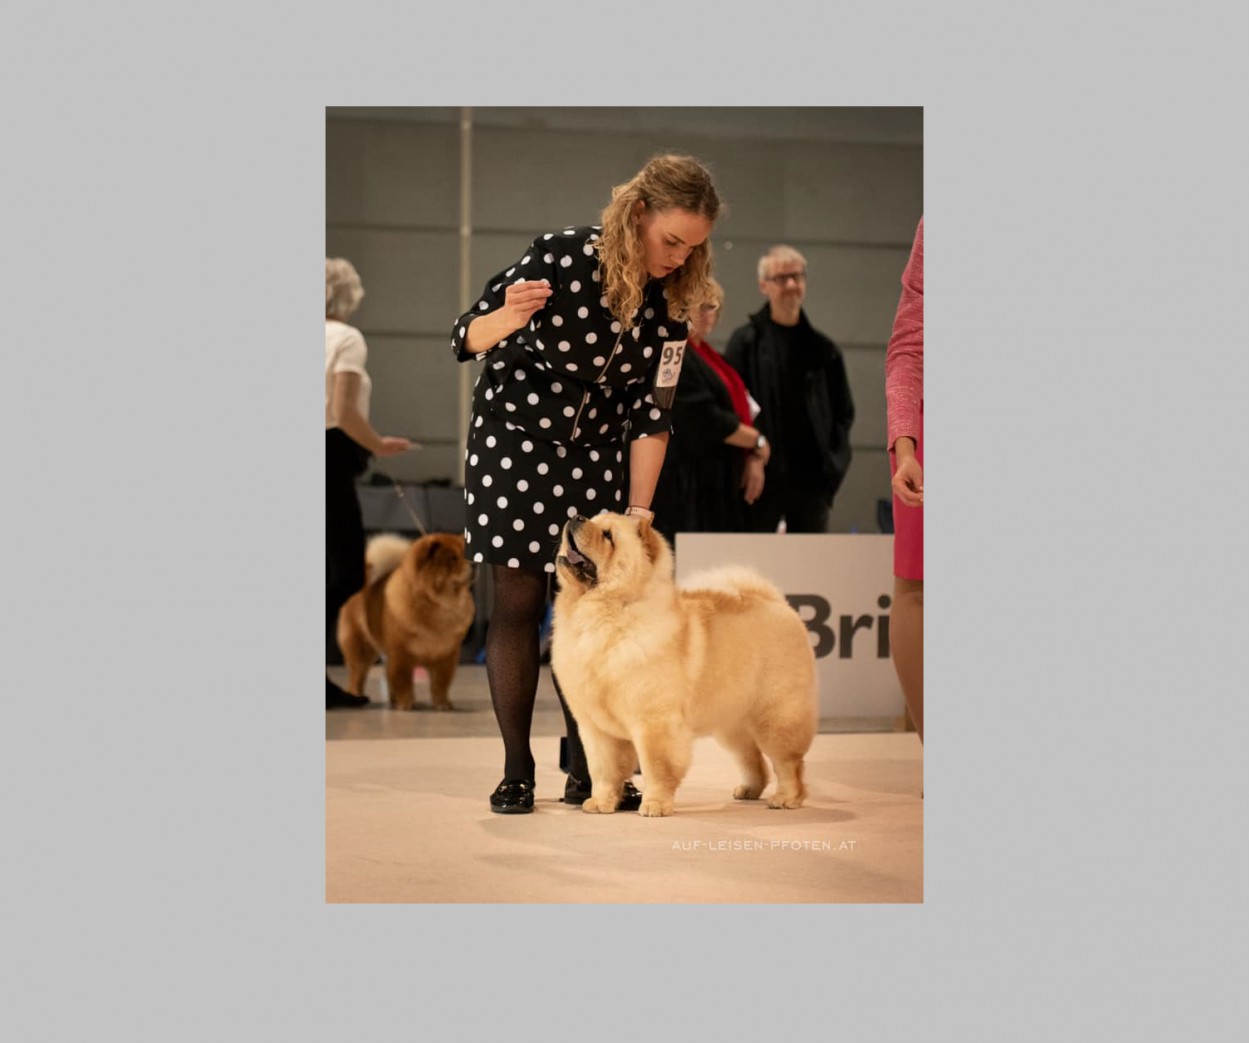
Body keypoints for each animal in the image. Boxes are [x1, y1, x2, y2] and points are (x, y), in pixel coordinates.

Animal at [336, 532, 475, 711]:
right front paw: (407, 703)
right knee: (357, 674)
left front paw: (442, 704)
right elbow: (403, 681)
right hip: (360, 647)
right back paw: (356, 695)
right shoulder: (400, 654)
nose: (475, 564)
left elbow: (440, 684)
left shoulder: (446, 656)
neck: (440, 605)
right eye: (452, 558)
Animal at [551, 511, 817, 816]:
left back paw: (786, 798)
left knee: (788, 763)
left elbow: (657, 767)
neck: (603, 613)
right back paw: (749, 790)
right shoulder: (596, 729)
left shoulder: (654, 723)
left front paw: (654, 805)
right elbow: (603, 771)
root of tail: (777, 603)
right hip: (731, 724)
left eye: (608, 536)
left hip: (777, 718)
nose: (576, 516)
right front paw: (600, 803)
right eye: (594, 519)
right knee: (752, 758)